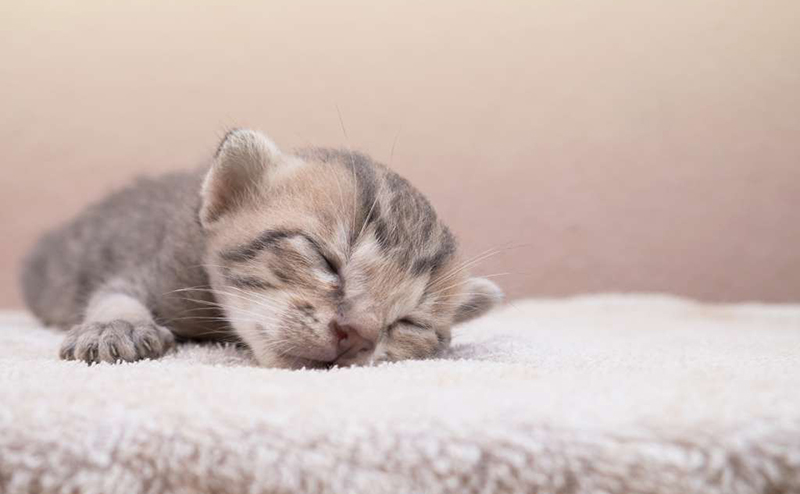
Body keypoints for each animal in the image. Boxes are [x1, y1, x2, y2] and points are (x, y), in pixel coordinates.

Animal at [21, 129, 504, 368]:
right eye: (325, 260)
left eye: (411, 323)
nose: (360, 336)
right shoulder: (151, 265)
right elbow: (114, 293)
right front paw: (113, 327)